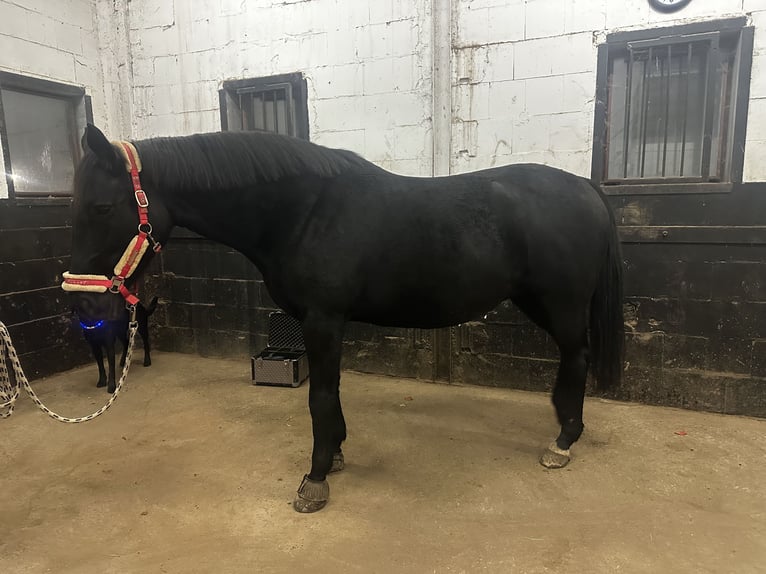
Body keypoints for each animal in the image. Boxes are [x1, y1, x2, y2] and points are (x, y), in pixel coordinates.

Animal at [66, 124, 624, 513]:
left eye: (102, 207)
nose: (85, 305)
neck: (304, 212)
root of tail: (585, 186)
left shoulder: (323, 320)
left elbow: (319, 396)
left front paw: (314, 480)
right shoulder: (322, 323)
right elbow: (329, 394)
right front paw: (334, 454)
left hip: (561, 305)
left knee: (577, 358)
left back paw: (562, 442)